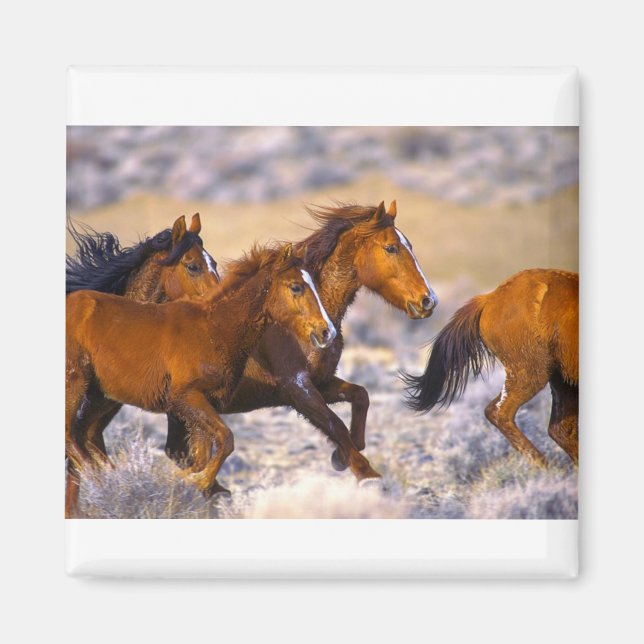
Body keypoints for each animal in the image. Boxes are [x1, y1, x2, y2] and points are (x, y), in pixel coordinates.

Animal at [65, 243, 337, 515]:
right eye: (296, 287)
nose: (328, 332)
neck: (213, 330)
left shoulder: (204, 406)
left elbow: (203, 455)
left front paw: (193, 485)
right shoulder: (186, 398)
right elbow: (226, 440)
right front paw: (194, 481)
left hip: (100, 396)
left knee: (83, 434)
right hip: (76, 383)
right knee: (71, 434)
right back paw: (106, 481)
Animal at [166, 199, 438, 480]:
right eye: (391, 247)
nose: (428, 300)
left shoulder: (320, 382)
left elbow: (360, 397)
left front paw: (342, 455)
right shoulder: (296, 387)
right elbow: (336, 426)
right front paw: (360, 470)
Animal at [402, 269, 579, 466]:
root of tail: (489, 298)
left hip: (560, 379)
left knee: (560, 430)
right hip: (532, 374)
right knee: (501, 413)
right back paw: (545, 467)